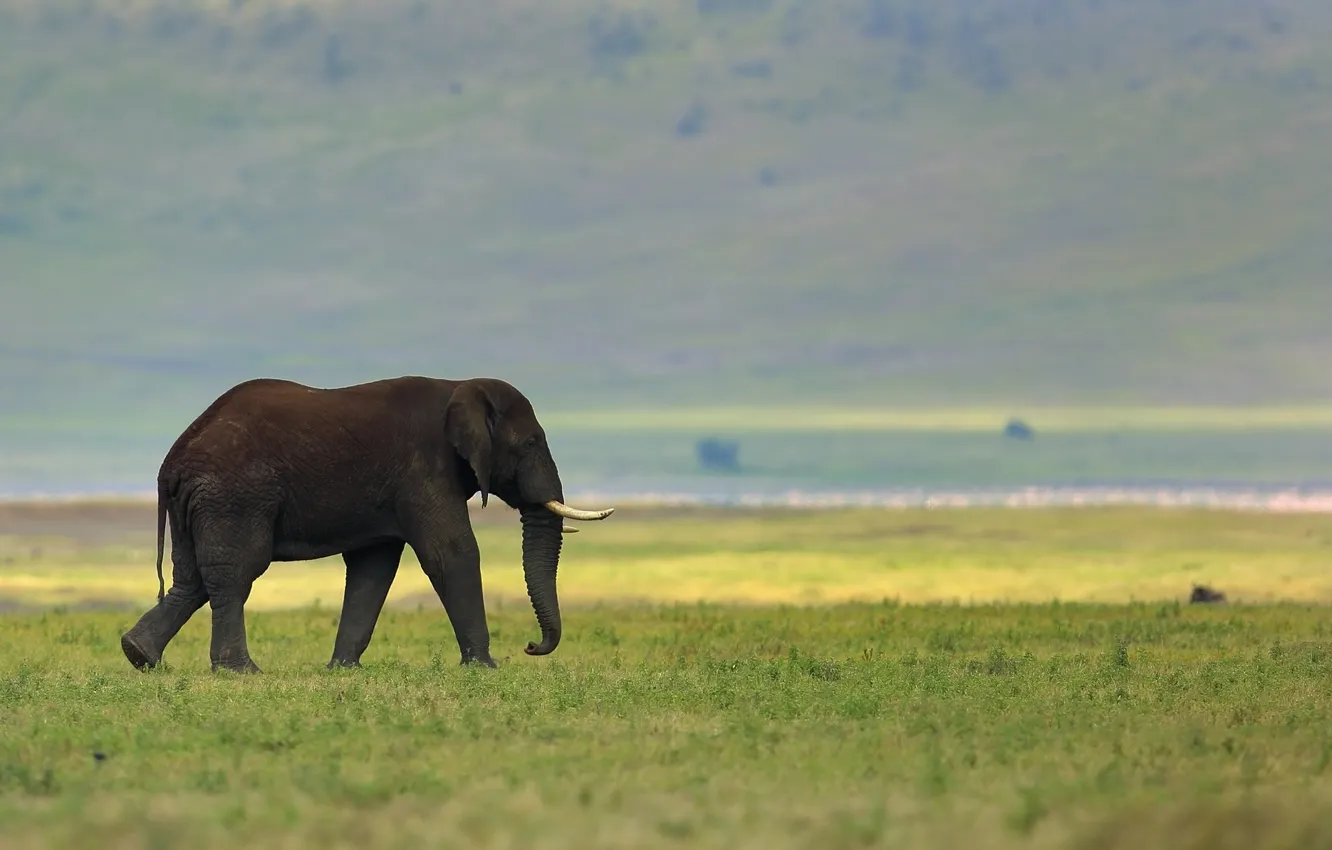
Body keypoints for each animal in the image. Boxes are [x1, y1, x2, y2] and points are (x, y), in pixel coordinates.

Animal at [118, 375, 614, 673]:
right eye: (530, 443)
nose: (531, 647)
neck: (459, 386)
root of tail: (175, 458)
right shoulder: (424, 470)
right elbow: (451, 552)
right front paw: (484, 668)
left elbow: (372, 570)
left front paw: (343, 670)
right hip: (235, 496)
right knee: (234, 574)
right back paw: (241, 672)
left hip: (200, 501)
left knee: (193, 579)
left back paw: (139, 655)